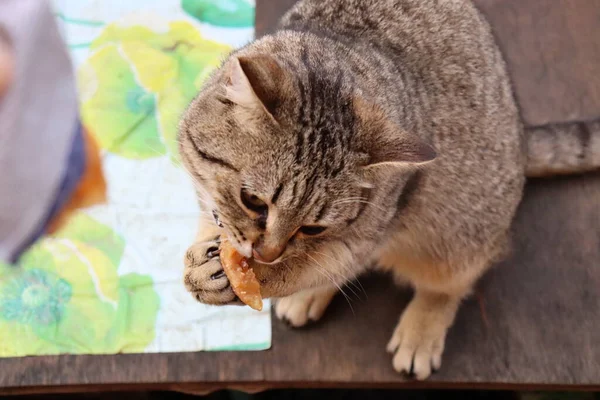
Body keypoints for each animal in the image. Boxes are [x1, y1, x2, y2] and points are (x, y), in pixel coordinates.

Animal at [178, 0, 600, 380]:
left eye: (313, 228)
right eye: (253, 202)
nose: (267, 254)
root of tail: (523, 142)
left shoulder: (367, 231)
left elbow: (309, 265)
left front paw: (254, 277)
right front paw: (203, 256)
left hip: (460, 234)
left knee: (450, 282)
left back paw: (420, 330)